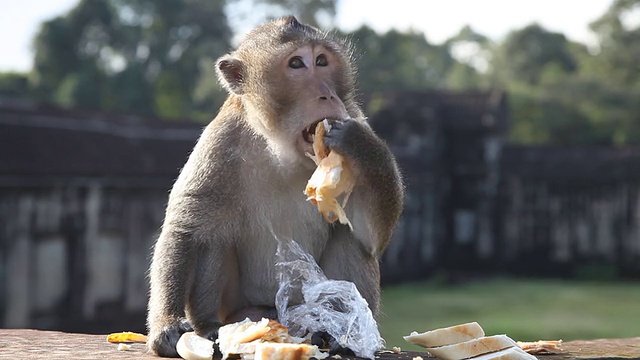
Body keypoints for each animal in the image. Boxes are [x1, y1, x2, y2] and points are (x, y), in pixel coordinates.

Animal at [148, 15, 402, 356]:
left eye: (321, 61)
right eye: (296, 64)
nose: (327, 94)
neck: (281, 150)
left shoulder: (353, 115)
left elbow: (371, 235)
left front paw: (358, 140)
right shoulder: (220, 141)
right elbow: (186, 230)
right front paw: (167, 325)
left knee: (350, 239)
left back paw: (343, 335)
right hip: (237, 306)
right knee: (213, 237)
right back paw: (211, 325)